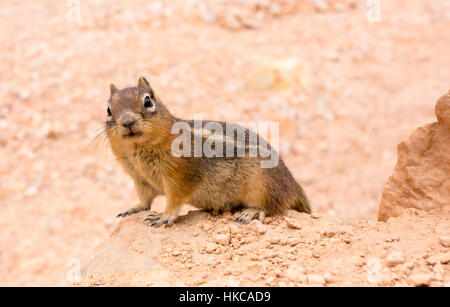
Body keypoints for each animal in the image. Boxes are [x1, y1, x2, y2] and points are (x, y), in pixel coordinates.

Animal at [106, 76, 310, 227]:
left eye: (148, 101)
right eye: (108, 109)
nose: (127, 122)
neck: (138, 150)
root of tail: (293, 185)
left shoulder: (180, 176)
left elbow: (174, 200)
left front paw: (164, 216)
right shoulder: (140, 179)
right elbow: (144, 200)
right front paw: (134, 208)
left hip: (262, 184)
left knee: (274, 205)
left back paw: (251, 212)